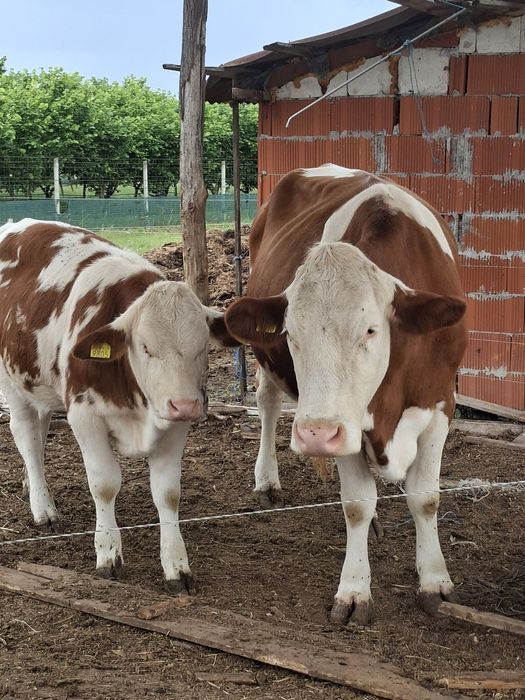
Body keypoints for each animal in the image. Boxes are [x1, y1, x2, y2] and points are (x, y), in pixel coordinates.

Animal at [0, 218, 228, 594]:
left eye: (202, 347)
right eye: (145, 347)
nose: (185, 404)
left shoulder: (175, 423)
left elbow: (168, 493)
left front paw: (176, 565)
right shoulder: (84, 415)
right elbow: (104, 484)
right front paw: (107, 555)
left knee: (38, 432)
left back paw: (32, 485)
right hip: (12, 380)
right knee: (24, 433)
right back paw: (42, 508)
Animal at [223, 165, 468, 624]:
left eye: (370, 329)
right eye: (290, 333)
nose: (314, 434)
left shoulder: (441, 401)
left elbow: (425, 498)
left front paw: (435, 581)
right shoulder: (345, 427)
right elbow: (357, 503)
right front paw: (354, 591)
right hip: (267, 366)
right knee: (267, 404)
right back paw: (267, 480)